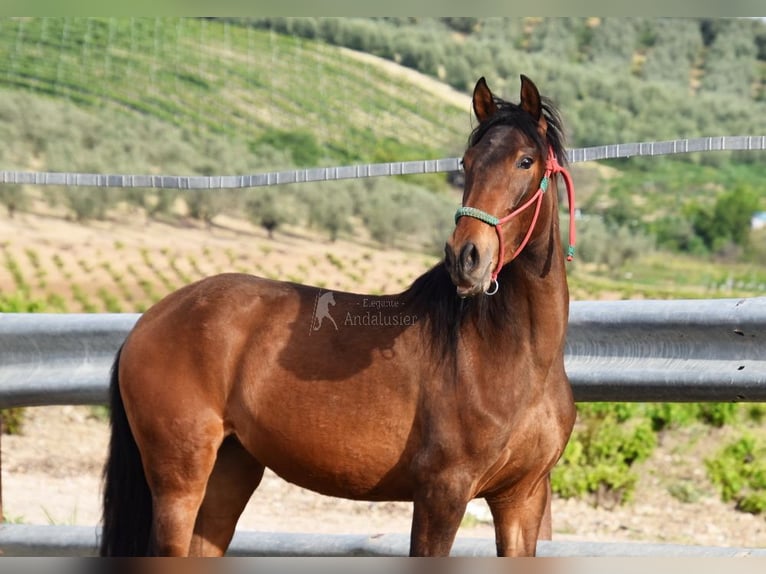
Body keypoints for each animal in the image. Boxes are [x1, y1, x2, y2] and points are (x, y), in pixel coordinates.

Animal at [100, 75, 576, 560]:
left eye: (525, 161)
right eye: (467, 162)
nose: (466, 258)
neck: (511, 356)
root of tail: (148, 321)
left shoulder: (521, 498)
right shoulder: (442, 493)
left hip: (229, 471)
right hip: (179, 480)